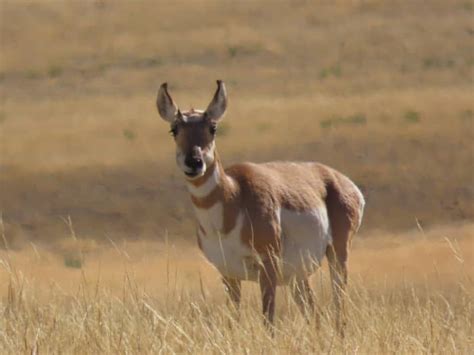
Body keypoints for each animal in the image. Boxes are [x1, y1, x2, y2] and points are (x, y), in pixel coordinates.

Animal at [157, 80, 364, 330]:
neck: (233, 199)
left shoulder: (268, 269)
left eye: (213, 128)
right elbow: (232, 320)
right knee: (313, 313)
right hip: (298, 276)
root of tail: (341, 180)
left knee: (339, 309)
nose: (194, 162)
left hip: (337, 256)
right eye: (174, 129)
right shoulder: (228, 275)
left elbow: (268, 320)